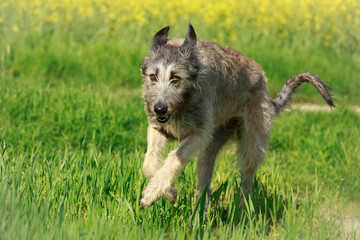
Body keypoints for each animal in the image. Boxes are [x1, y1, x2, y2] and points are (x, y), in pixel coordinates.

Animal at [139, 24, 334, 208]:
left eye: (176, 78)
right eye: (153, 76)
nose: (159, 109)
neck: (182, 103)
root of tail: (266, 92)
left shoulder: (198, 134)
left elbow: (176, 156)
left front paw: (152, 193)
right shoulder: (158, 129)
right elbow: (149, 162)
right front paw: (168, 191)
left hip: (253, 139)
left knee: (248, 177)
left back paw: (244, 211)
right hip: (212, 145)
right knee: (205, 178)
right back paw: (200, 213)